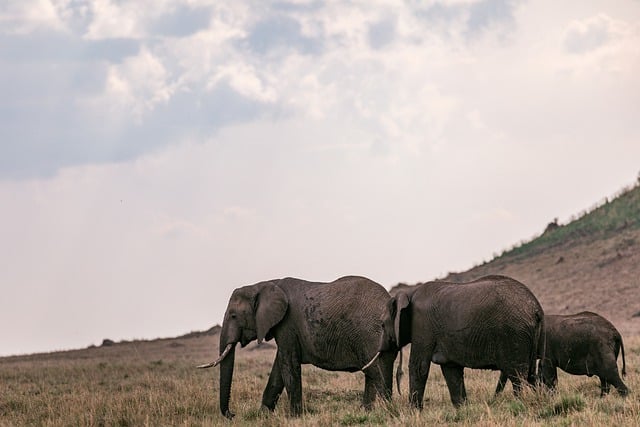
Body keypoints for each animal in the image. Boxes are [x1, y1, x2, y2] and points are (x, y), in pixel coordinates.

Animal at [198, 276, 398, 420]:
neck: (264, 284)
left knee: (375, 371)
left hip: (369, 334)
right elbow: (278, 370)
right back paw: (369, 412)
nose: (232, 414)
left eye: (233, 315)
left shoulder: (287, 324)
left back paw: (388, 412)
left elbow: (288, 365)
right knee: (373, 372)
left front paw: (294, 417)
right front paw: (263, 415)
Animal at [364, 276, 544, 410]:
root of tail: (536, 309)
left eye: (382, 324)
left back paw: (521, 403)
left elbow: (419, 366)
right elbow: (451, 369)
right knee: (531, 374)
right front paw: (462, 409)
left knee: (518, 375)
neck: (409, 293)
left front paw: (413, 411)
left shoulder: (422, 325)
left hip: (514, 334)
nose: (391, 407)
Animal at [496, 310, 632, 398]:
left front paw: (552, 398)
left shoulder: (547, 347)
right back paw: (602, 399)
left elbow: (548, 372)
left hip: (603, 348)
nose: (495, 400)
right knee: (605, 379)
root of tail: (616, 333)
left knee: (609, 374)